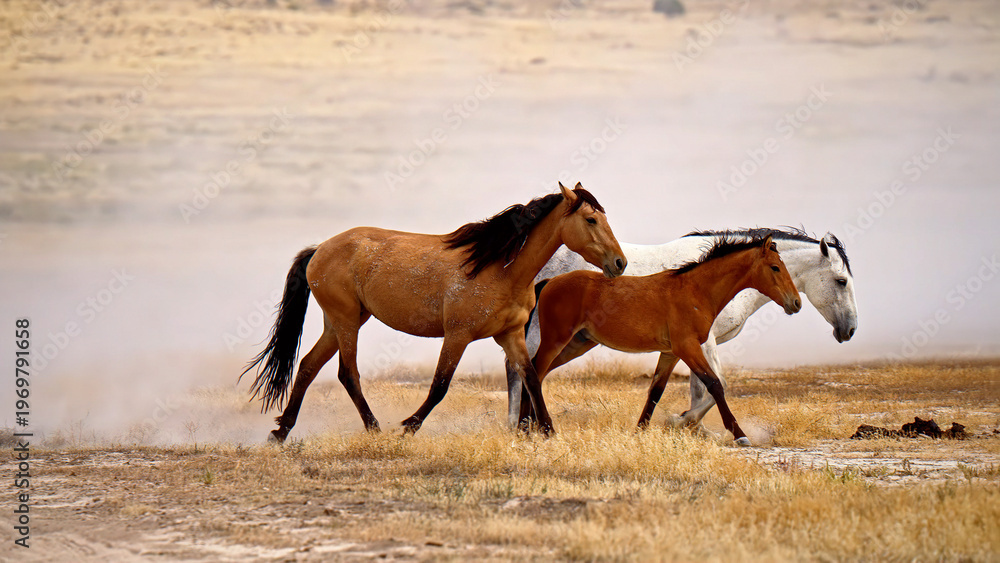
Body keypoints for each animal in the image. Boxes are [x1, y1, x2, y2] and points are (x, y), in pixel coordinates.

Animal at [241, 182, 627, 442]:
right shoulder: (458, 335)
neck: (499, 268)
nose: (619, 263)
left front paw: (547, 431)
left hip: (340, 322)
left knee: (307, 367)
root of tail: (320, 248)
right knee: (347, 374)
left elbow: (531, 377)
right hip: (347, 322)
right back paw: (374, 428)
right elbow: (440, 385)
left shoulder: (510, 335)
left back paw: (282, 431)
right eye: (591, 219)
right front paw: (409, 427)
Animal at [507, 227, 858, 434]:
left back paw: (528, 424)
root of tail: (546, 279)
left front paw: (684, 426)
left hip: (576, 342)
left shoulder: (679, 348)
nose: (850, 330)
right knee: (522, 370)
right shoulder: (702, 343)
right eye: (841, 281)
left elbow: (672, 388)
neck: (696, 286)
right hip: (549, 336)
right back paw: (524, 425)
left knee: (532, 371)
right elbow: (717, 384)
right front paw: (693, 423)